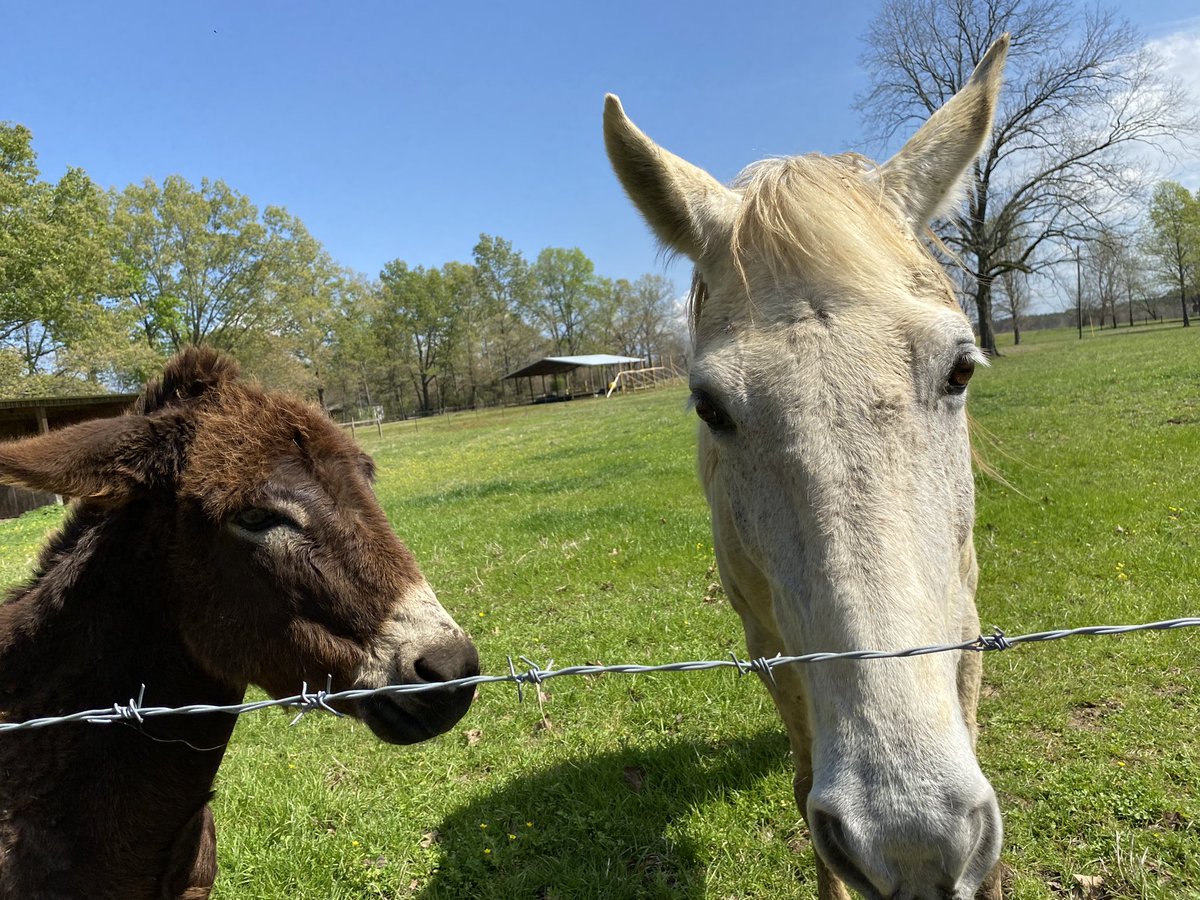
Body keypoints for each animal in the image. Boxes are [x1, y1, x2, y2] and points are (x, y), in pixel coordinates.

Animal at [605, 35, 1010, 900]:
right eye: (709, 407)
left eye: (960, 369)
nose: (911, 840)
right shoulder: (771, 647)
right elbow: (800, 784)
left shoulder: (964, 617)